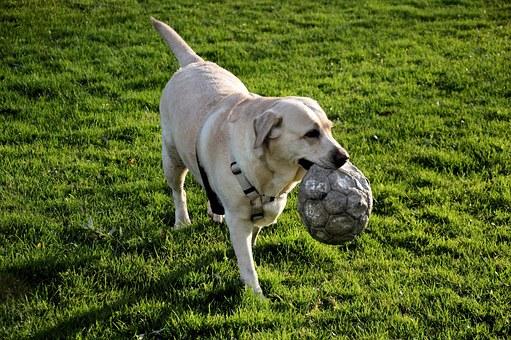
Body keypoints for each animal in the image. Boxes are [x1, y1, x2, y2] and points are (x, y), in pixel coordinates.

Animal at [150, 17, 350, 294]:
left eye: (329, 128)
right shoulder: (238, 220)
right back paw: (182, 221)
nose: (343, 157)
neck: (268, 174)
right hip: (172, 158)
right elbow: (246, 262)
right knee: (179, 191)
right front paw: (256, 295)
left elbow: (252, 240)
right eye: (311, 134)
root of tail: (194, 62)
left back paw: (214, 212)